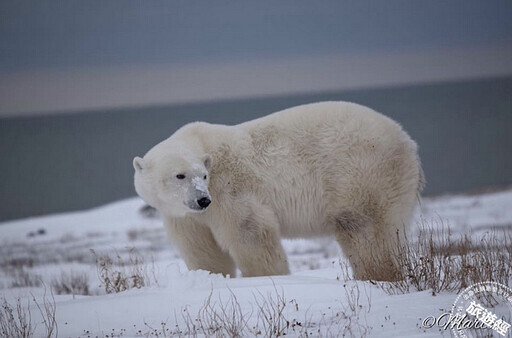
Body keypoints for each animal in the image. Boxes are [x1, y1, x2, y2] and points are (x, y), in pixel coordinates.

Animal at [133, 101, 424, 282]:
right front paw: (212, 278)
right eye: (180, 175)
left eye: (203, 175)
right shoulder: (184, 217)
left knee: (363, 227)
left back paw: (378, 275)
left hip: (361, 171)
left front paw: (264, 279)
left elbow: (250, 233)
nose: (202, 199)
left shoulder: (230, 189)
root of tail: (407, 141)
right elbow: (202, 249)